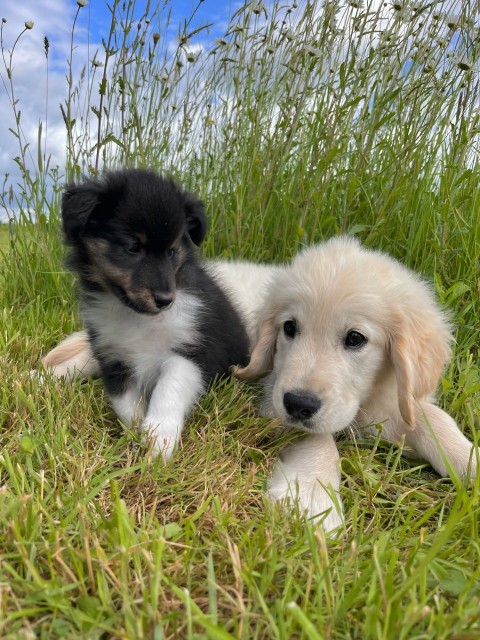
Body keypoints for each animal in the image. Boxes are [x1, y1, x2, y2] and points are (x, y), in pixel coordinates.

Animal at [62, 169, 249, 460]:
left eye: (172, 251)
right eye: (133, 247)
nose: (165, 300)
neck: (138, 318)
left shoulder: (189, 352)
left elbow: (168, 390)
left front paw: (159, 439)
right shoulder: (114, 358)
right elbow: (126, 406)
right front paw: (138, 437)